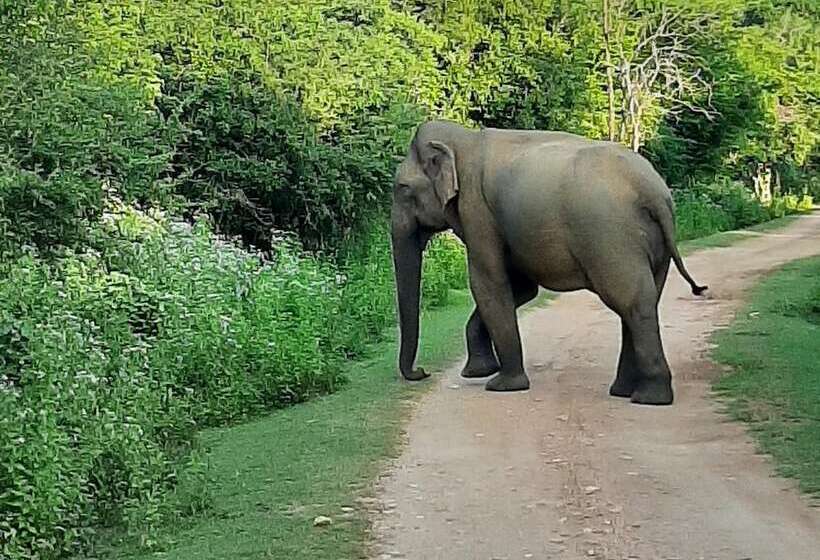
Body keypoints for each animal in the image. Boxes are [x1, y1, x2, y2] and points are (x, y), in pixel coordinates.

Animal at [390, 120, 707, 405]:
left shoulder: (476, 209)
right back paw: (624, 392)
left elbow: (488, 283)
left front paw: (502, 385)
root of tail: (655, 192)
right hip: (654, 245)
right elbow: (521, 288)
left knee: (632, 302)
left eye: (402, 188)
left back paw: (649, 399)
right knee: (643, 299)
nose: (422, 372)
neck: (463, 140)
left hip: (612, 236)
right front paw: (477, 372)